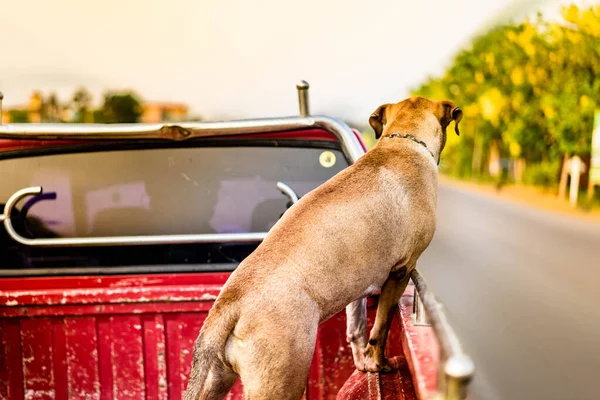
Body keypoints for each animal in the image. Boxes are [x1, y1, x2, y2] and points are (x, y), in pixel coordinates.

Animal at [185, 97, 462, 400]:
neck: (402, 143)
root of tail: (229, 305)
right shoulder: (401, 271)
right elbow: (381, 328)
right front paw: (378, 364)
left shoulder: (358, 285)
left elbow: (357, 328)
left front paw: (364, 362)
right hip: (282, 382)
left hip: (216, 380)